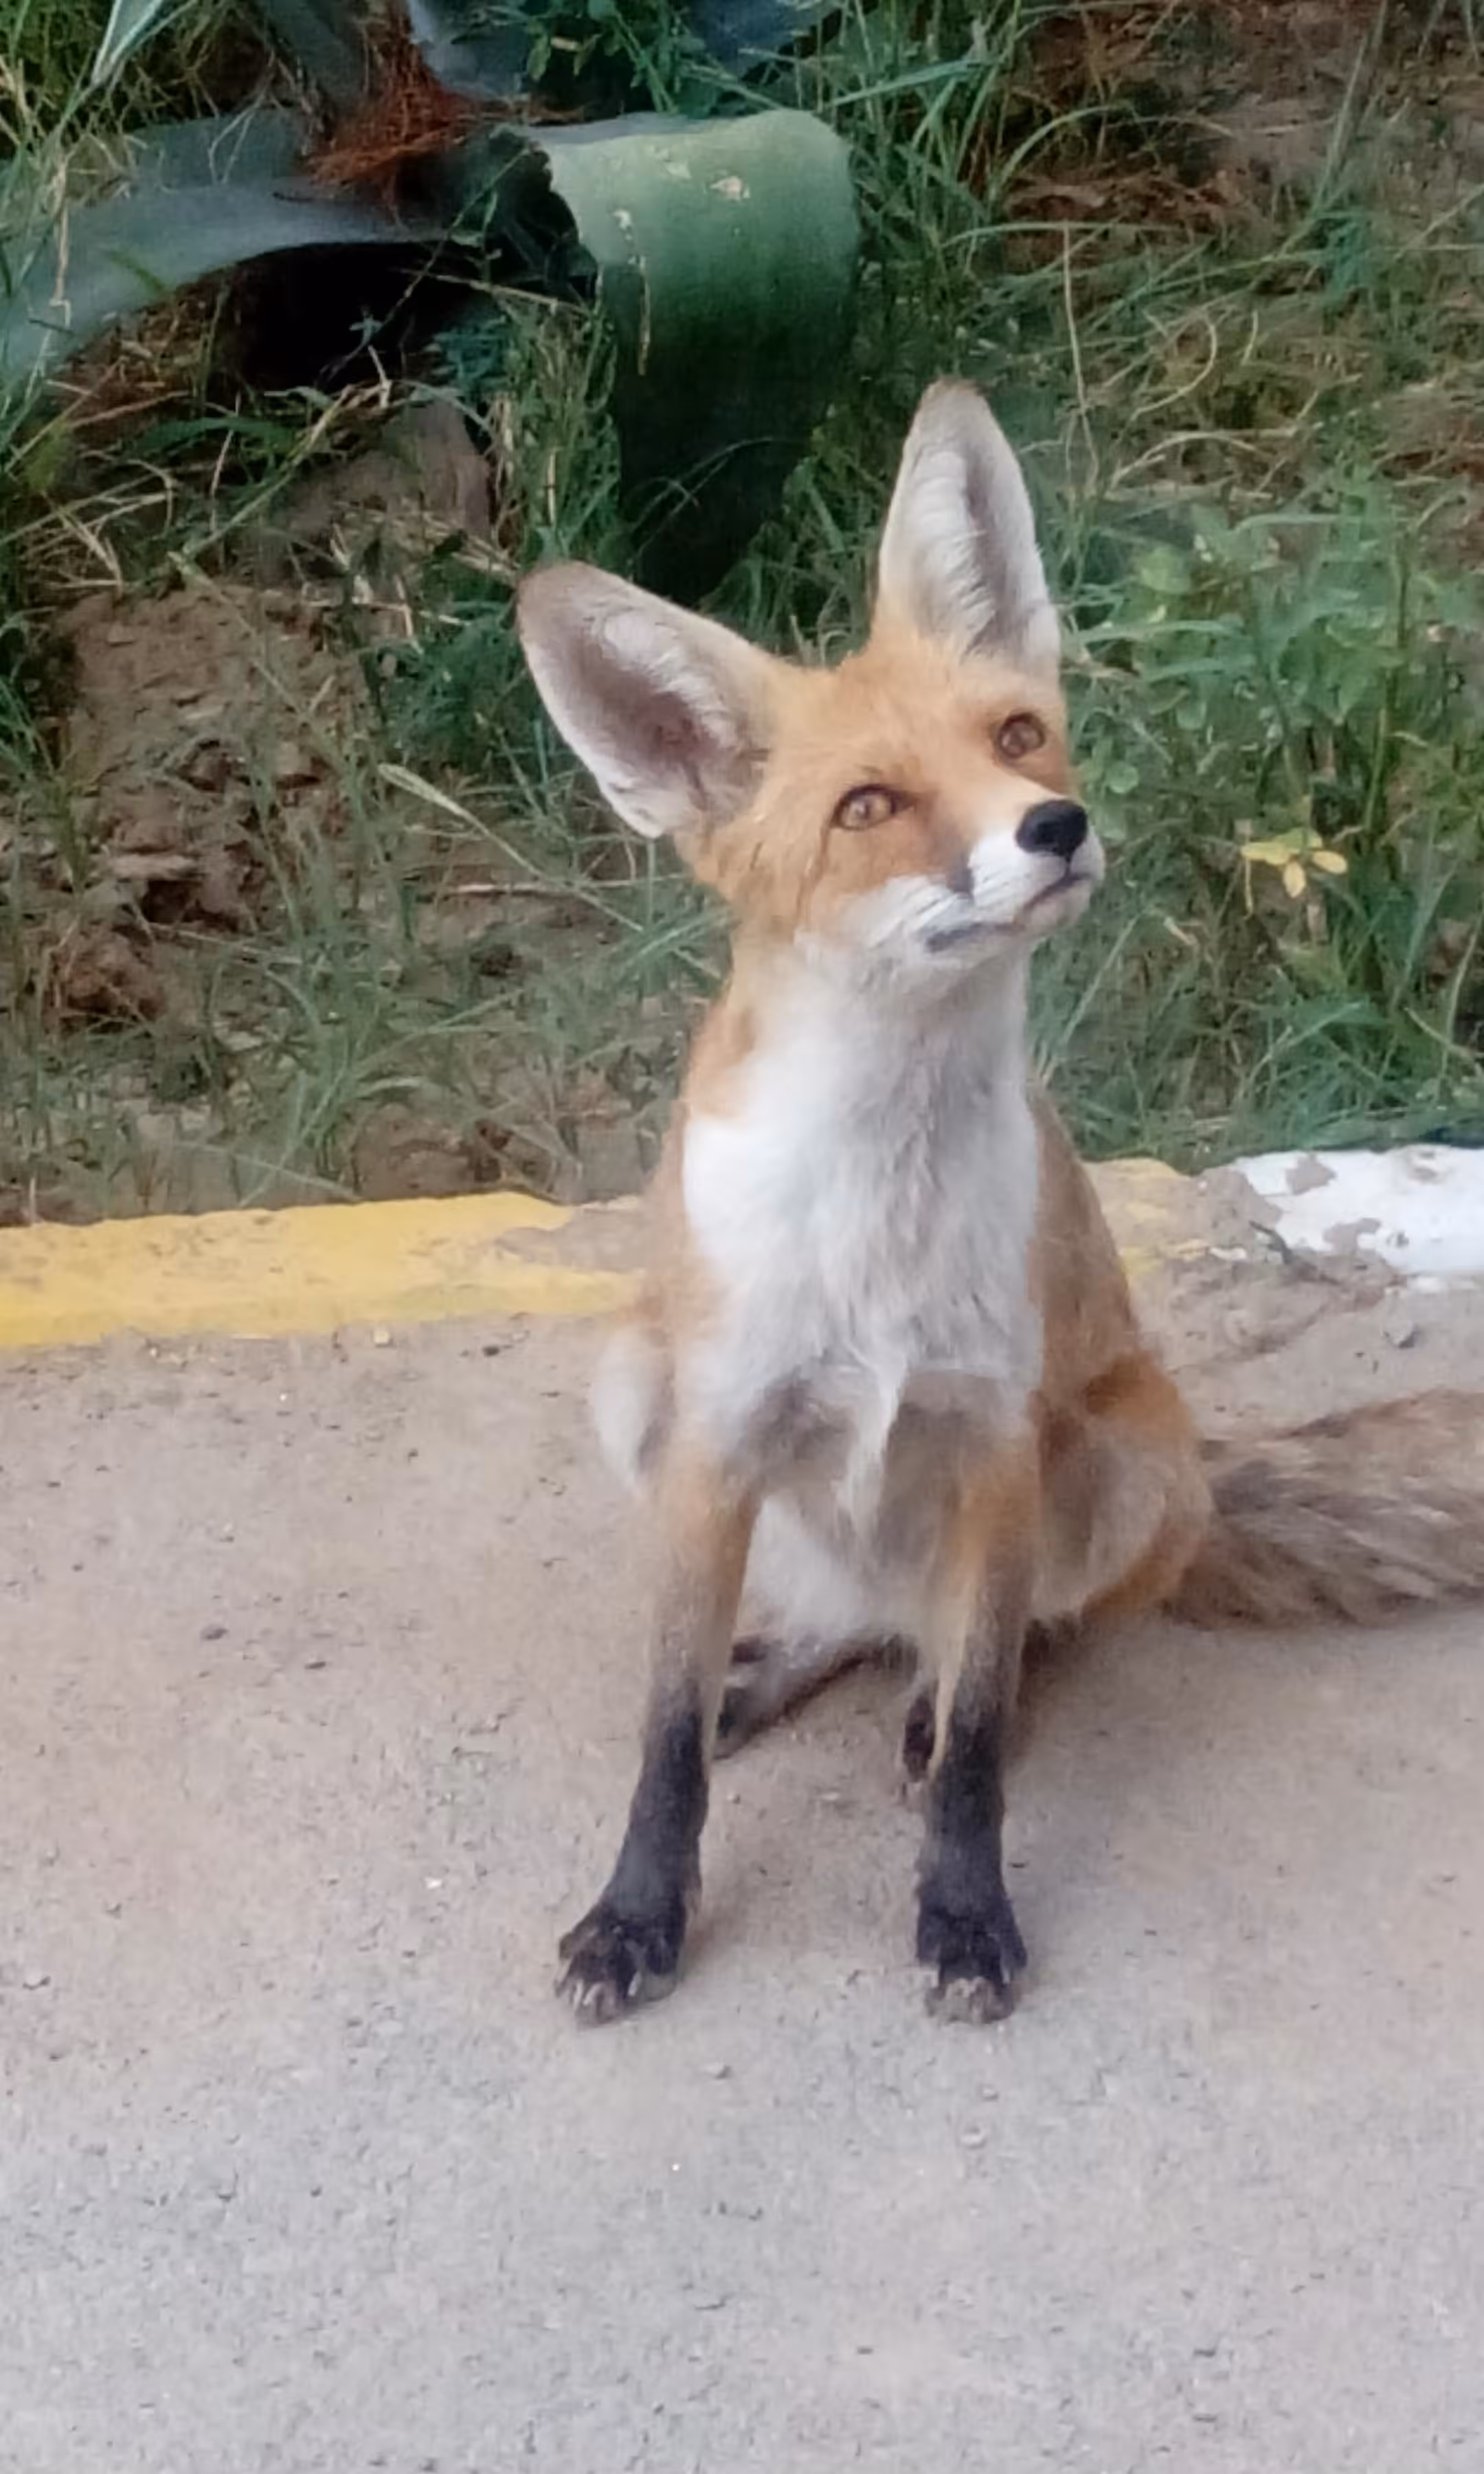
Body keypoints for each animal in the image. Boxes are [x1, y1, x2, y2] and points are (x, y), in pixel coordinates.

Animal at [516, 380, 1484, 2027]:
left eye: (1021, 738)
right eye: (872, 805)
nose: (1058, 826)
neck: (878, 1209)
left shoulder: (992, 1446)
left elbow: (973, 1746)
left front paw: (965, 1917)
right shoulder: (711, 1447)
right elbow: (664, 1745)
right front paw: (638, 1918)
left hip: (1116, 1462)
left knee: (1007, 1639)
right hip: (634, 1385)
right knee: (838, 1622)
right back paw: (777, 1664)